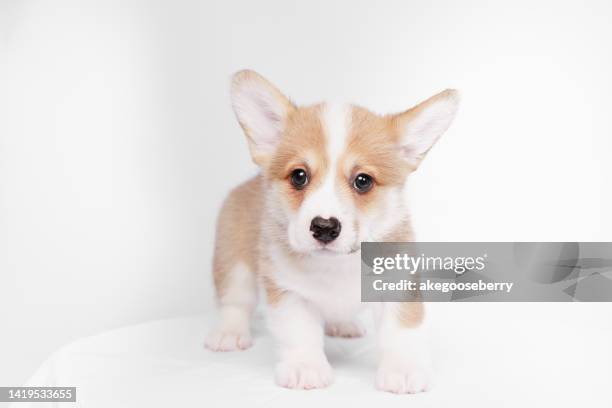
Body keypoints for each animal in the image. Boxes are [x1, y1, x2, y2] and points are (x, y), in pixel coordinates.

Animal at [206, 68, 460, 394]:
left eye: (363, 181)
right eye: (299, 176)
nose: (324, 227)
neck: (337, 265)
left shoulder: (398, 286)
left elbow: (401, 330)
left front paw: (402, 370)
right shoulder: (288, 292)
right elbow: (299, 333)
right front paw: (305, 367)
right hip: (234, 259)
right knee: (235, 300)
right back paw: (229, 333)